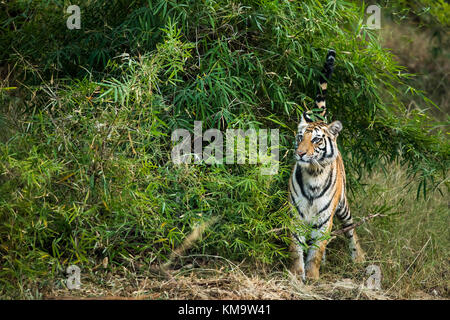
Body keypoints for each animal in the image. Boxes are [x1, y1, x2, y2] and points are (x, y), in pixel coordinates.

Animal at [288, 49, 366, 280]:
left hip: (342, 205)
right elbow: (296, 247)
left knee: (350, 227)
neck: (314, 173)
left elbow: (316, 249)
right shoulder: (296, 214)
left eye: (316, 140)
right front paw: (297, 274)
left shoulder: (324, 219)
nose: (300, 153)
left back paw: (358, 257)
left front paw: (312, 276)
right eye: (300, 137)